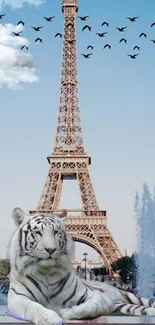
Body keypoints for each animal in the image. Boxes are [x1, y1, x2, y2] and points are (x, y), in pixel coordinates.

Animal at [7, 206, 155, 322]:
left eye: (56, 232)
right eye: (37, 232)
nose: (50, 249)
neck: (47, 272)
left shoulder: (94, 297)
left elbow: (90, 307)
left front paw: (67, 311)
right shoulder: (17, 299)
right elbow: (35, 307)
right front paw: (50, 318)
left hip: (128, 296)